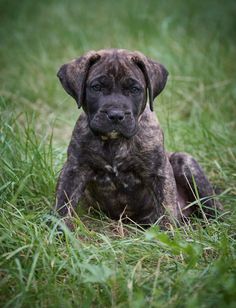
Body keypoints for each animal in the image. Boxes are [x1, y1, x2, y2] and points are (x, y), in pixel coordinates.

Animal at [54, 48, 222, 230]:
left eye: (134, 89)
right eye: (96, 87)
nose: (115, 115)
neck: (115, 142)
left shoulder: (159, 172)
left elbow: (166, 206)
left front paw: (167, 233)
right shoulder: (74, 169)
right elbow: (63, 203)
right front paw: (59, 231)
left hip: (185, 162)